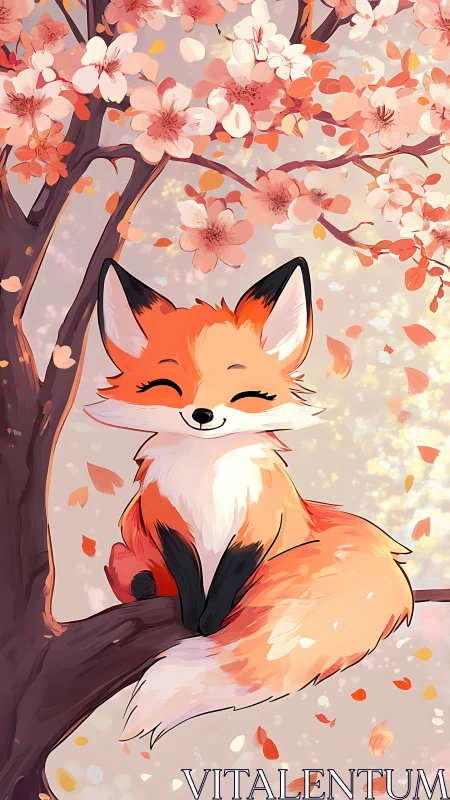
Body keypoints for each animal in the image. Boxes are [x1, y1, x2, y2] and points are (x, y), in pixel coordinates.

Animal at [85, 255, 413, 747]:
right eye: (166, 385)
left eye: (247, 395)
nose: (203, 415)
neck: (208, 476)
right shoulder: (165, 522)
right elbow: (186, 573)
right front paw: (194, 617)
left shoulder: (258, 524)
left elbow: (229, 577)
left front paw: (212, 621)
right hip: (124, 548)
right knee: (132, 572)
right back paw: (146, 587)